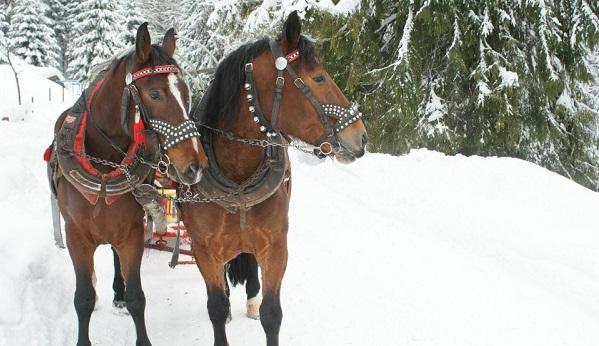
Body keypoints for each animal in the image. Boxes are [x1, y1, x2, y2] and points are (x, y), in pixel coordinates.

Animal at [49, 23, 209, 344]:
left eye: (186, 93)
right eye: (155, 94)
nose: (195, 166)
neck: (103, 166)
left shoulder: (132, 233)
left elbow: (137, 297)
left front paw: (129, 305)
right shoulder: (76, 237)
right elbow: (83, 297)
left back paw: (117, 294)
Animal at [185, 11, 368, 346]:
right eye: (318, 78)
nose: (360, 136)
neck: (238, 177)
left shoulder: (275, 247)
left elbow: (272, 314)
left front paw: (259, 305)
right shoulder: (203, 250)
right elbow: (216, 307)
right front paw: (223, 310)